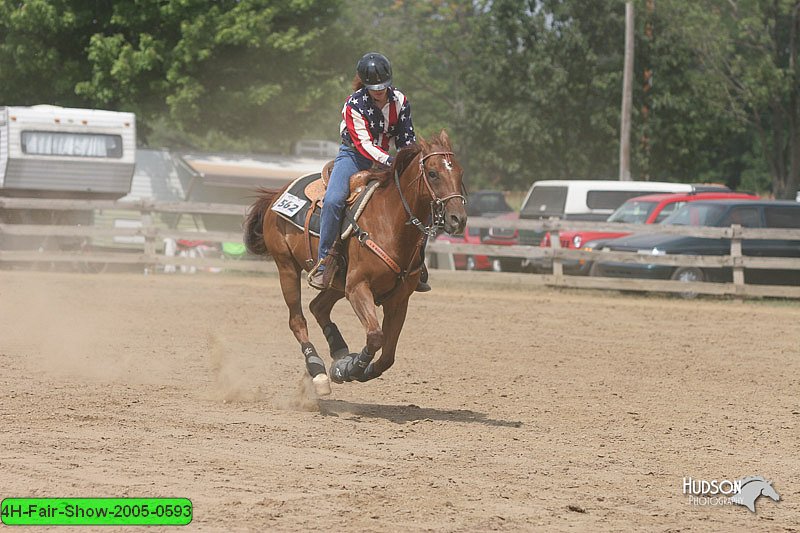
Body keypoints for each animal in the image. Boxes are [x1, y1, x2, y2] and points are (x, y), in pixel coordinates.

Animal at [244, 129, 468, 394]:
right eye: (433, 173)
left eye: (460, 173)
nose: (457, 219)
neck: (389, 222)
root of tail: (276, 195)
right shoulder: (358, 287)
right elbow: (375, 335)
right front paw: (351, 368)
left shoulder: (398, 300)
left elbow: (388, 355)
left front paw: (353, 367)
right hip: (287, 267)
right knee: (297, 320)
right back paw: (318, 371)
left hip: (336, 283)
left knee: (318, 307)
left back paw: (340, 352)